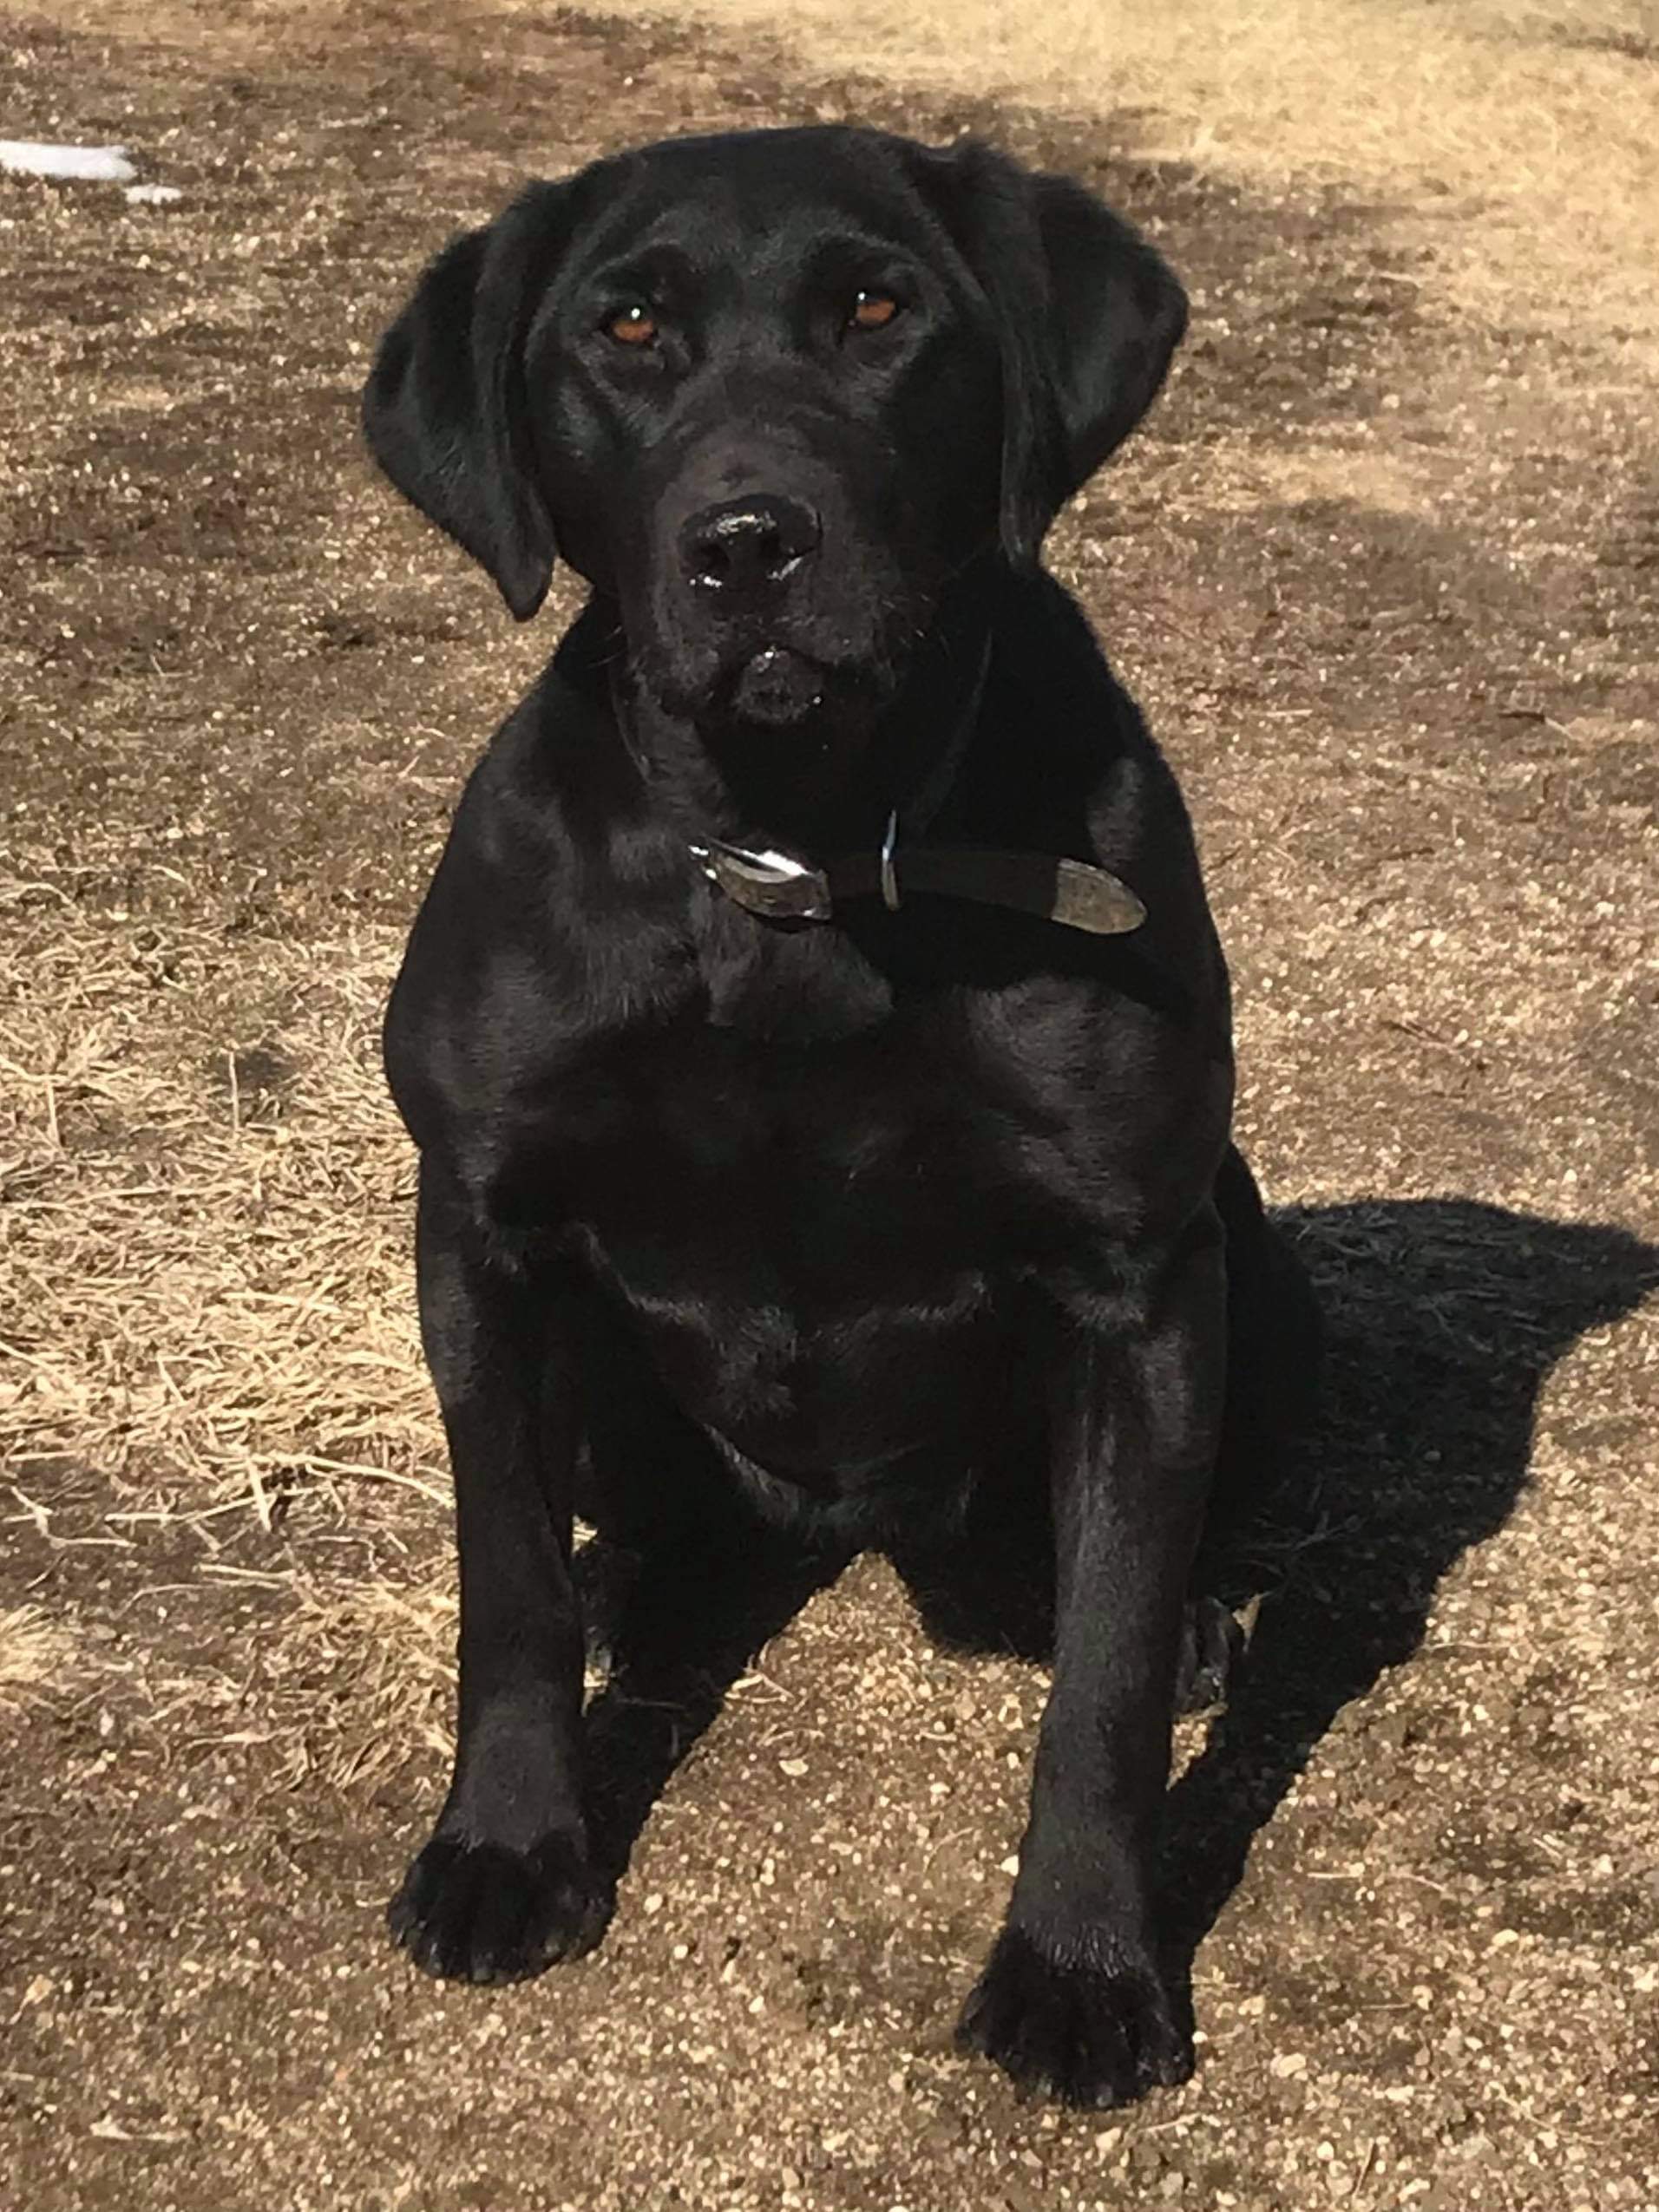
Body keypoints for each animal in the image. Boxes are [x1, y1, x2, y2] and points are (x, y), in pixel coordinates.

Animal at [363, 125, 1327, 2105]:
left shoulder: (1137, 1284)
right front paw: (509, 1842)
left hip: (1242, 1244)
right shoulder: (482, 1237)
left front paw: (1083, 1963)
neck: (796, 863)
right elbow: (506, 1587)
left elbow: (1106, 1679)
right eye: (623, 327)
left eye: (879, 311)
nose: (749, 545)